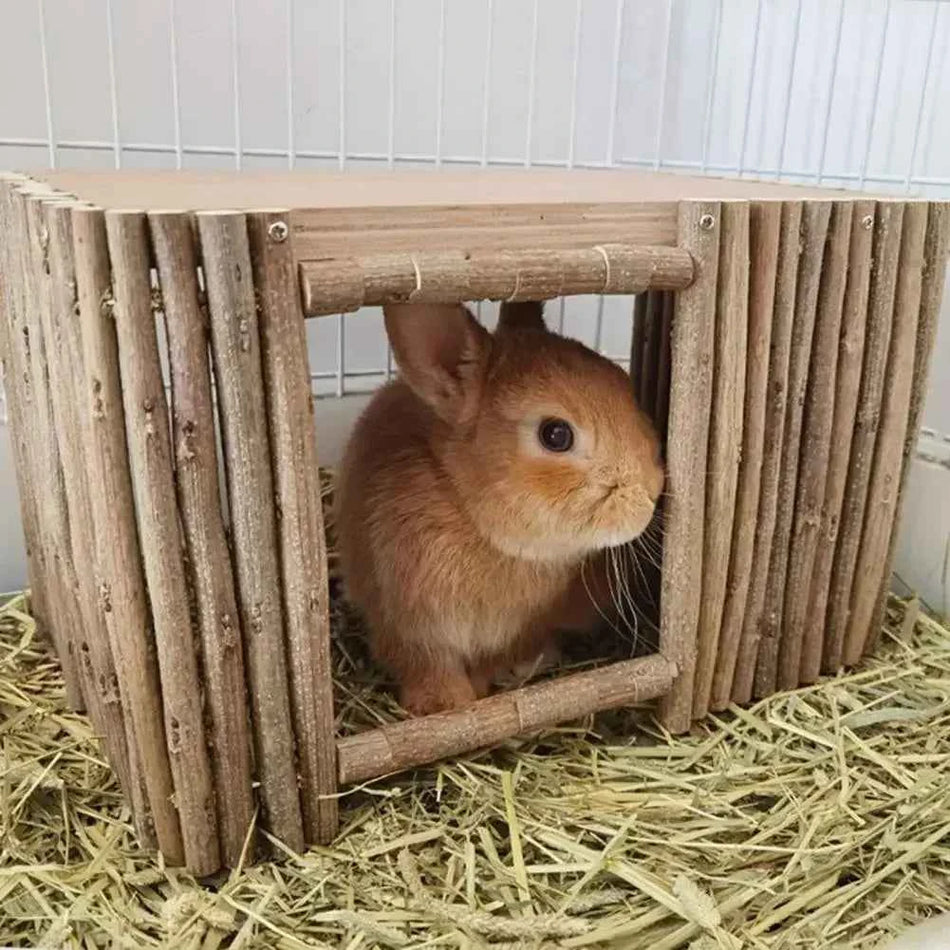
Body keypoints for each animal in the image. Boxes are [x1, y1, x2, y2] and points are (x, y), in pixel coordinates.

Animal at [335, 298, 664, 716]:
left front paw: (478, 689)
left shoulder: (520, 629)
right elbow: (426, 665)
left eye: (624, 381)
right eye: (556, 434)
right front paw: (443, 704)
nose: (652, 492)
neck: (474, 520)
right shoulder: (405, 622)